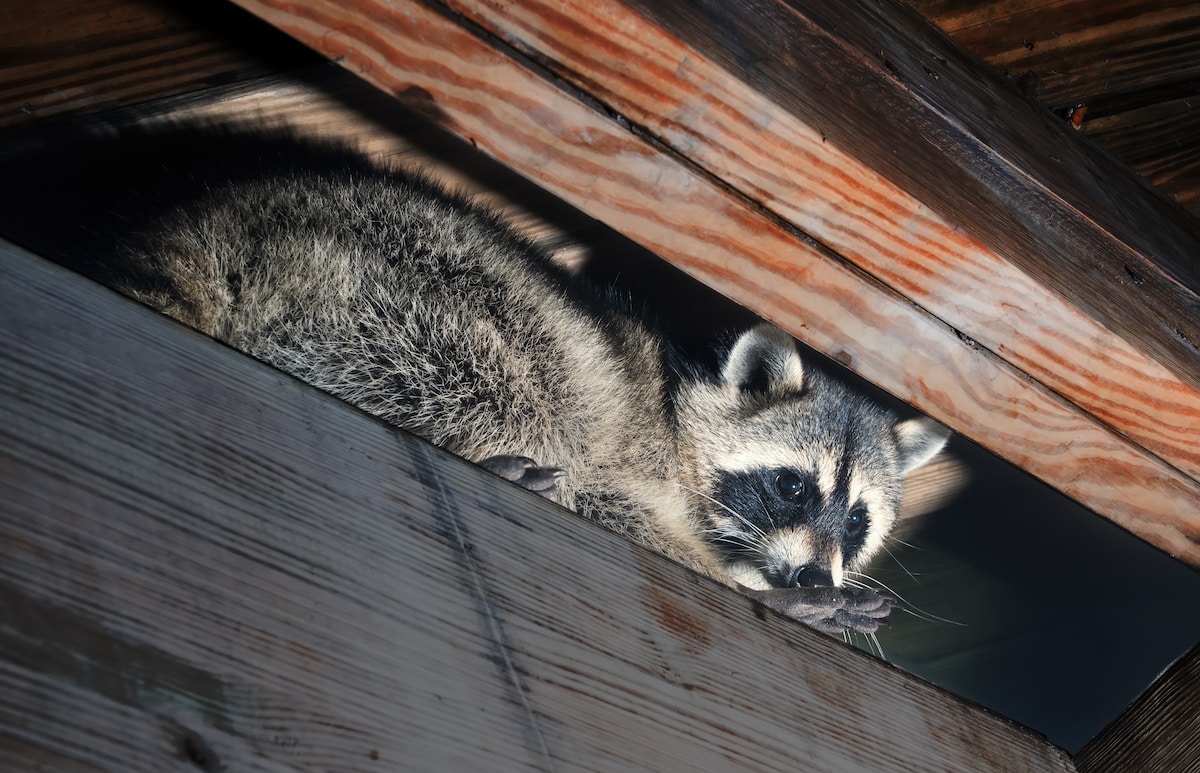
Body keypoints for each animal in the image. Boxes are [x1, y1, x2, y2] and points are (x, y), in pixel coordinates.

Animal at [0, 125, 949, 635]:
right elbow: (613, 500)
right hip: (398, 289)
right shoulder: (627, 450)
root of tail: (210, 224)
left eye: (857, 519)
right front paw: (749, 587)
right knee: (509, 375)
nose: (815, 578)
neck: (678, 411)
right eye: (791, 486)